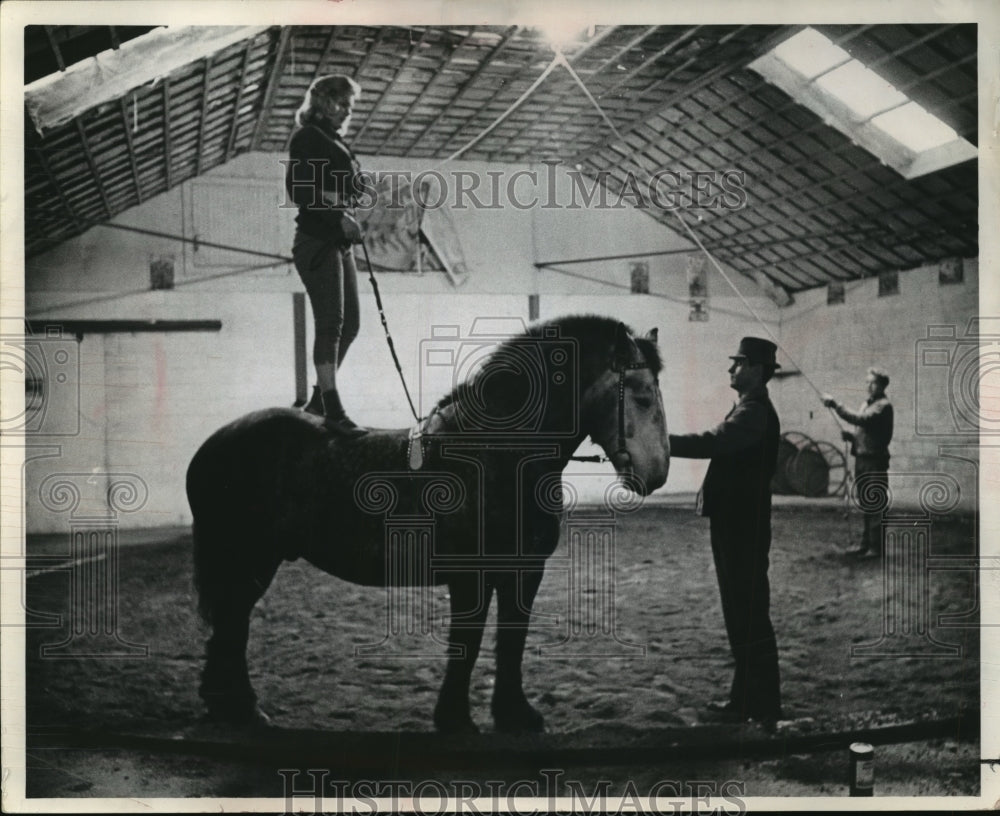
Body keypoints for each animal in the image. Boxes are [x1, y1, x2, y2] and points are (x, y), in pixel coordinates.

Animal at [188, 314, 672, 732]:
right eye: (643, 395)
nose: (657, 473)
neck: (496, 455)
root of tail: (212, 444)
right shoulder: (470, 577)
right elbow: (469, 644)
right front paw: (455, 719)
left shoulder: (523, 572)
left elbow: (511, 641)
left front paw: (515, 714)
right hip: (249, 560)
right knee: (232, 624)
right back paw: (241, 708)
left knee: (231, 625)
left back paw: (229, 705)